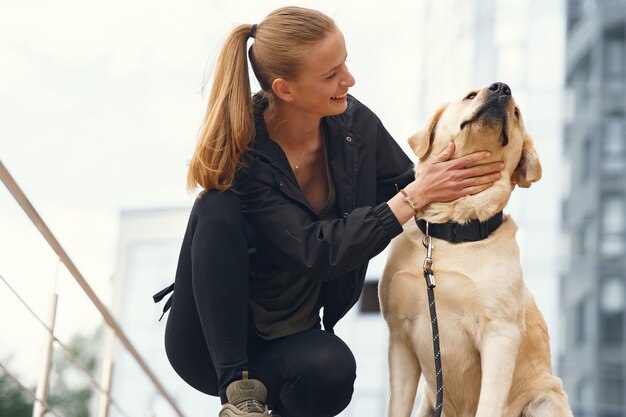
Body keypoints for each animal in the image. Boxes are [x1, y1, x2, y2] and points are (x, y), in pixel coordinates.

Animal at [378, 82, 572, 416]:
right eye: (470, 95)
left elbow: (489, 404)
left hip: (546, 399)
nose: (502, 88)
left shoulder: (500, 336)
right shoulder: (400, 337)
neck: (452, 228)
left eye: (517, 113)